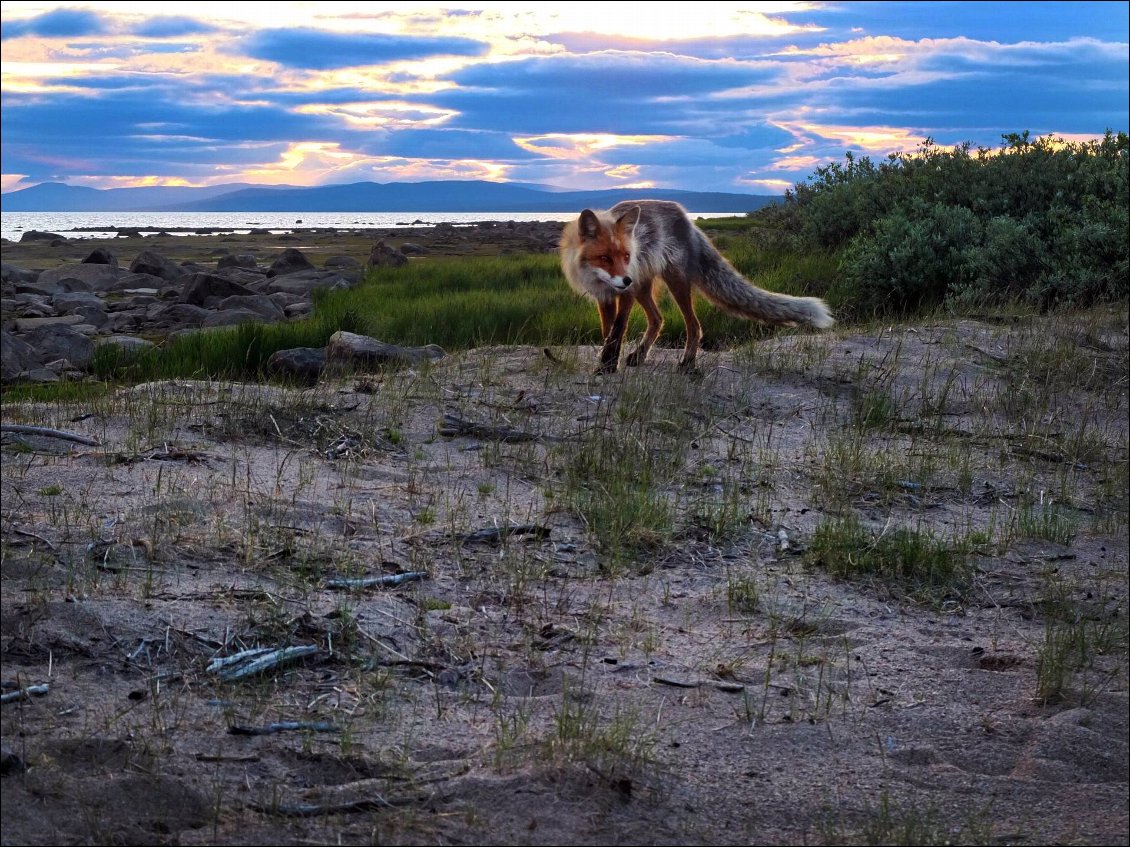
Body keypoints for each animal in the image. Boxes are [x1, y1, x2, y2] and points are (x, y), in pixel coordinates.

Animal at [560, 201, 836, 372]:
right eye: (605, 258)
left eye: (627, 256)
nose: (626, 278)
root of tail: (687, 219)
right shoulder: (605, 296)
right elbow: (609, 332)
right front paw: (607, 364)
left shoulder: (625, 293)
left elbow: (617, 331)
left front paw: (606, 367)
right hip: (644, 288)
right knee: (658, 319)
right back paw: (640, 356)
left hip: (672, 282)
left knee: (694, 325)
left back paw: (687, 363)